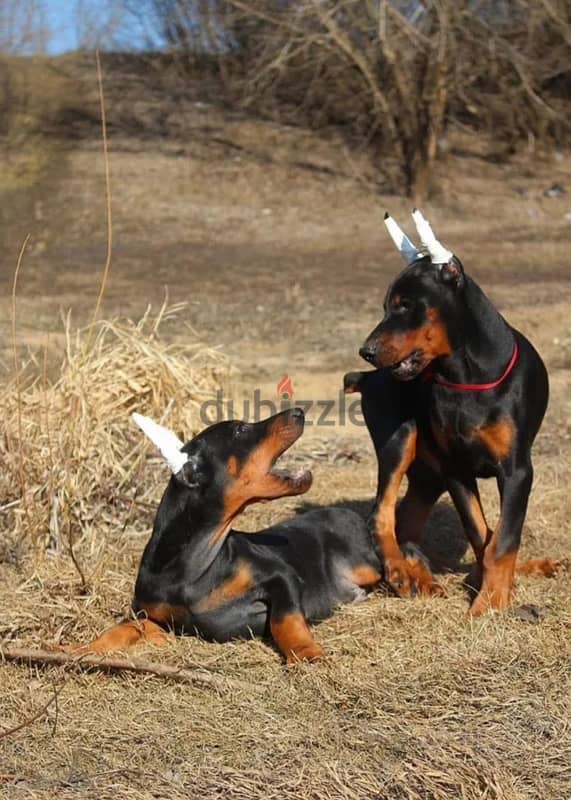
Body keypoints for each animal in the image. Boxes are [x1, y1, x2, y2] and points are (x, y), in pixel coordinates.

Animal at [69, 406, 392, 664]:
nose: (299, 411)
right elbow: (121, 629)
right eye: (240, 429)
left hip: (367, 564)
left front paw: (306, 652)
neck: (192, 569)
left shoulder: (281, 576)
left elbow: (285, 620)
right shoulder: (152, 616)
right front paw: (78, 648)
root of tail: (349, 513)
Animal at [344, 209, 564, 616]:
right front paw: (490, 600)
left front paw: (490, 597)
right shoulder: (457, 469)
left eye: (405, 304)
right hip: (403, 438)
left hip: (428, 475)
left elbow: (500, 538)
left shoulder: (516, 470)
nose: (366, 351)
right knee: (381, 515)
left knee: (407, 523)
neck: (466, 377)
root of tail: (366, 379)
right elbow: (481, 535)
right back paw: (400, 572)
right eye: (386, 306)